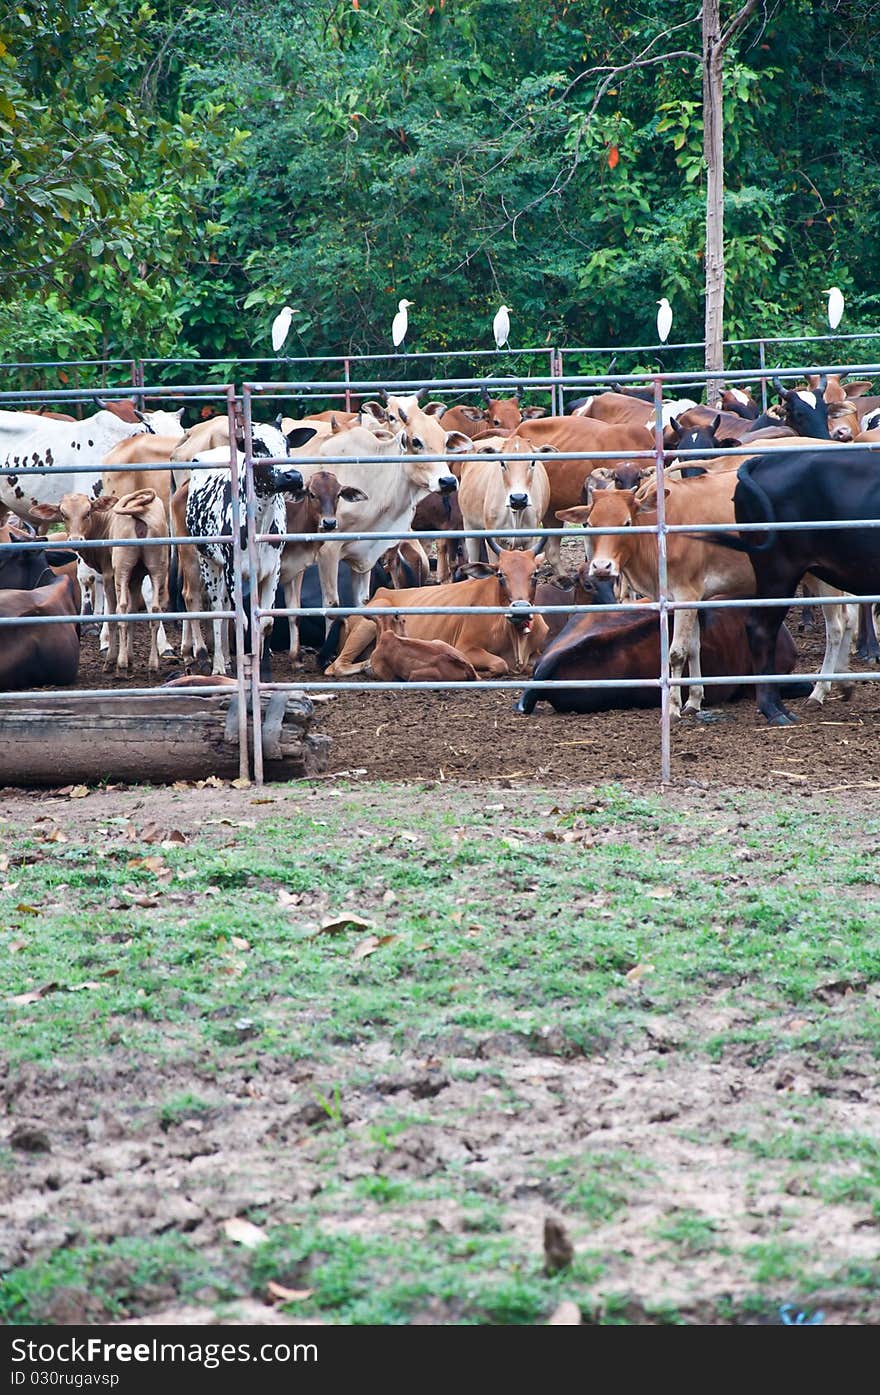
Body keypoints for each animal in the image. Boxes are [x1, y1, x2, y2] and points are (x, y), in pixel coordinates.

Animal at [329, 541, 552, 677]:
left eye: (535, 573)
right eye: (500, 574)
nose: (520, 608)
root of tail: (380, 592)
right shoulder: (465, 648)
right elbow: (500, 664)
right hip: (368, 623)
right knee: (336, 666)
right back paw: (366, 665)